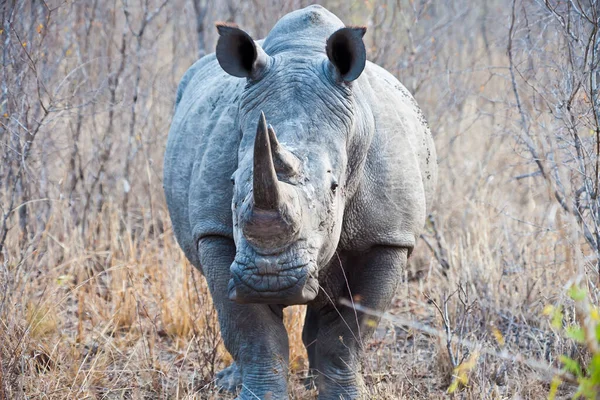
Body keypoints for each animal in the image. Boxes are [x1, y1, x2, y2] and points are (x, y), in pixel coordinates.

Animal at [164, 3, 436, 400]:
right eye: (231, 182)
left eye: (335, 187)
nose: (269, 280)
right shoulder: (214, 232)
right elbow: (251, 330)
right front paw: (258, 393)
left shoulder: (388, 237)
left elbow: (346, 335)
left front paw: (346, 394)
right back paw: (231, 382)